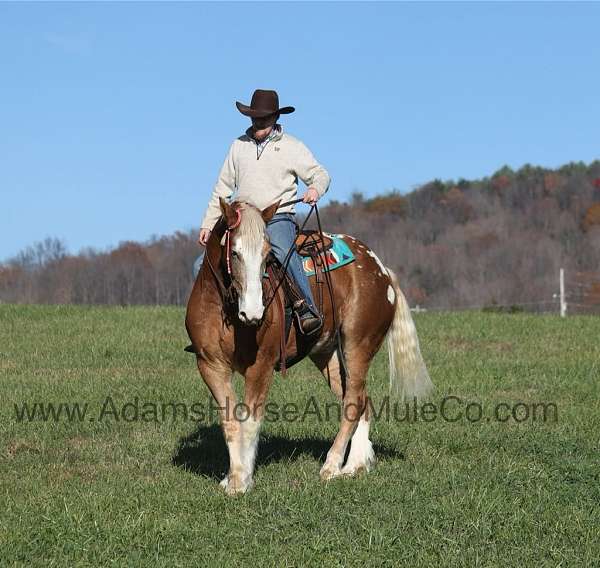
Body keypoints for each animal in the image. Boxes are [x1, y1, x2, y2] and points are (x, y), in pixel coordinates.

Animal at [184, 197, 432, 494]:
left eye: (267, 256)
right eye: (234, 253)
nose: (254, 312)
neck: (227, 312)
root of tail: (382, 270)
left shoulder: (261, 366)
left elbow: (251, 422)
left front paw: (243, 480)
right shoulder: (210, 365)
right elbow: (230, 422)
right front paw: (231, 478)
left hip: (358, 344)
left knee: (353, 401)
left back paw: (333, 465)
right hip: (327, 353)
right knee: (362, 400)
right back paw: (356, 465)